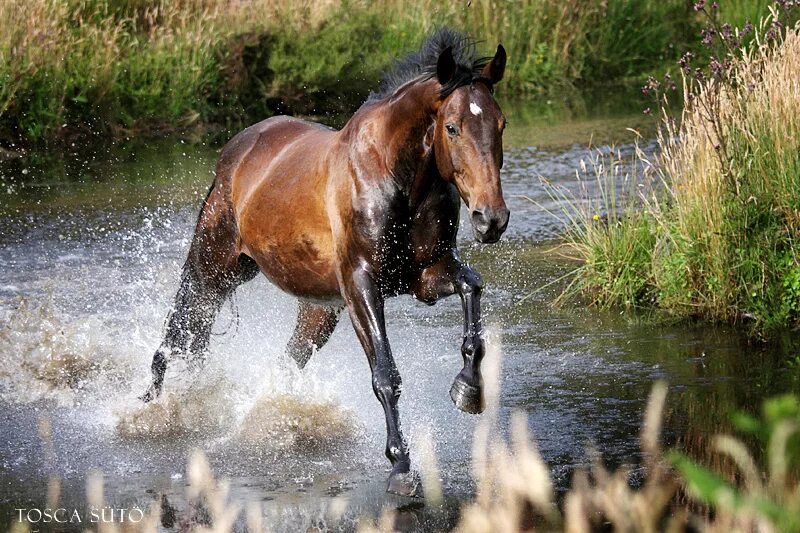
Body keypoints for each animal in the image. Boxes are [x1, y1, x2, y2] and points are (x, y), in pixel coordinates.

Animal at [141, 28, 510, 494]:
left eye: (501, 124)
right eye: (452, 127)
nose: (491, 219)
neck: (396, 177)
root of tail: (237, 149)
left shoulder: (425, 277)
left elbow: (472, 289)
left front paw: (468, 391)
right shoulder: (361, 286)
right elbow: (385, 375)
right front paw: (400, 466)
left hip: (316, 309)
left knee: (283, 361)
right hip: (214, 267)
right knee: (180, 330)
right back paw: (150, 408)